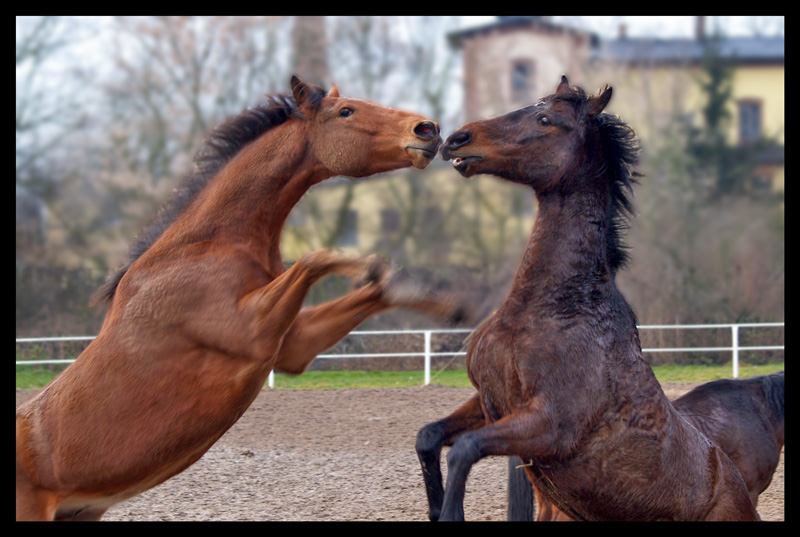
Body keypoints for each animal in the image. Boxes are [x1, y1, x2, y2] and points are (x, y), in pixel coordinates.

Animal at [15, 75, 460, 520]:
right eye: (345, 112)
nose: (427, 129)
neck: (206, 247)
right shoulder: (251, 332)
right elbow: (316, 257)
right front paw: (370, 267)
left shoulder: (291, 347)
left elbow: (369, 286)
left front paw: (446, 303)